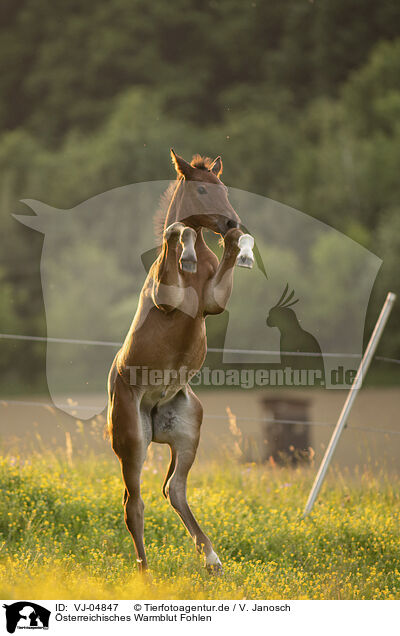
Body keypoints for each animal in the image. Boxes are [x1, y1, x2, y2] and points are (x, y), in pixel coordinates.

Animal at [108, 149, 255, 572]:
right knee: (134, 503)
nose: (231, 219)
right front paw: (186, 251)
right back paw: (145, 573)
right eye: (202, 189)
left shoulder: (214, 303)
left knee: (173, 488)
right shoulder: (166, 296)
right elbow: (177, 230)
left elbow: (229, 250)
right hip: (132, 438)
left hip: (189, 430)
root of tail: (154, 410)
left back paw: (212, 558)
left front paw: (241, 246)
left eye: (224, 188)